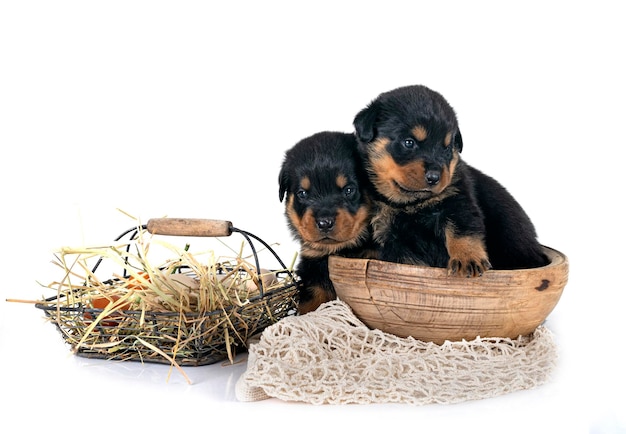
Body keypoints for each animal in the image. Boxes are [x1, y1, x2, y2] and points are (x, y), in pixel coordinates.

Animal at [352, 84, 544, 274]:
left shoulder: (457, 202)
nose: (434, 177)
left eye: (446, 148)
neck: (412, 203)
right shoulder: (393, 235)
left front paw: (468, 259)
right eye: (409, 142)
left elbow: (463, 231)